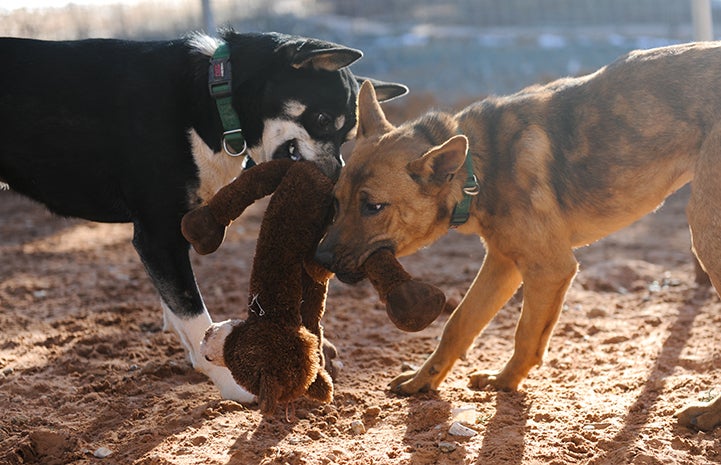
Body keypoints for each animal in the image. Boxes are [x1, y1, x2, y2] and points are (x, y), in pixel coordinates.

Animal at [0, 31, 404, 402]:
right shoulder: (158, 237)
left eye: (347, 136)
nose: (335, 184)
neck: (214, 95)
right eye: (321, 119)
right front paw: (232, 382)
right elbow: (195, 316)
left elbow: (179, 309)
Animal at [316, 41, 721, 430]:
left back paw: (707, 415)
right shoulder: (504, 263)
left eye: (374, 207)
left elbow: (524, 333)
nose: (319, 259)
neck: (476, 166)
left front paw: (505, 382)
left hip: (704, 230)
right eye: (335, 201)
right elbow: (459, 323)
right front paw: (425, 380)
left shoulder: (549, 268)